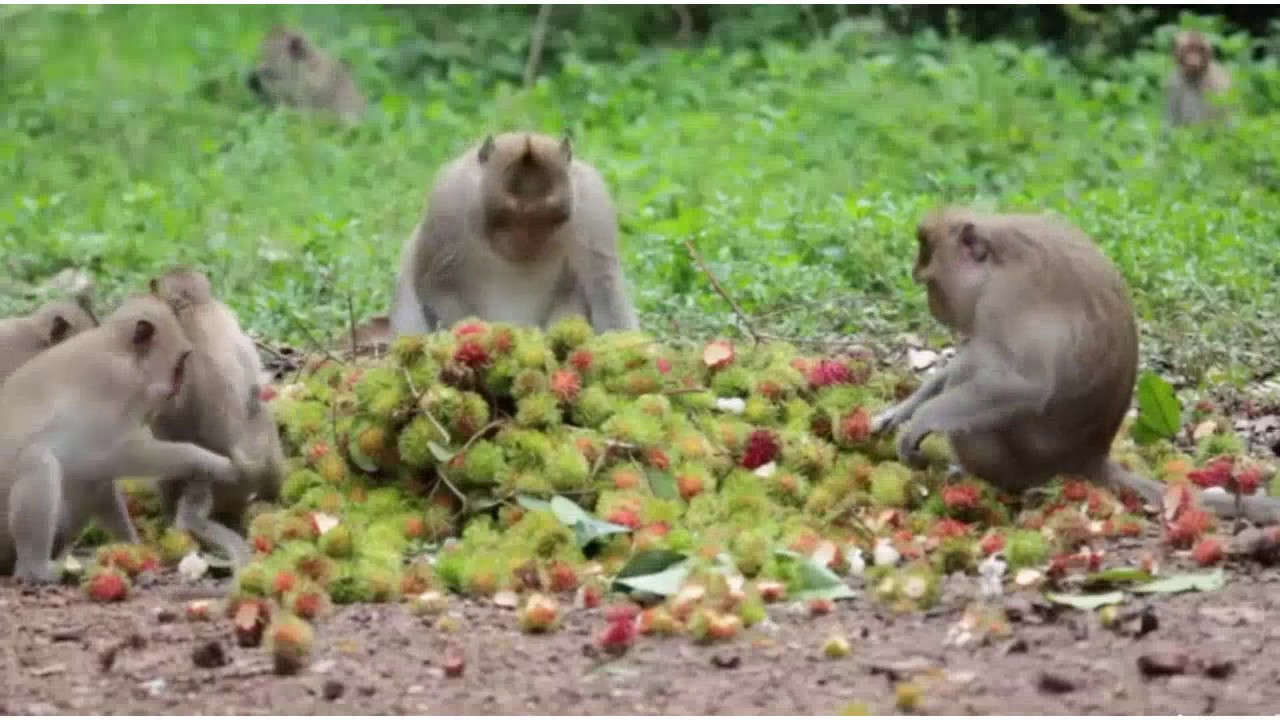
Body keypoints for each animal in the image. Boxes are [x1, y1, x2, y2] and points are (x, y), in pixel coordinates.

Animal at [0, 293, 242, 583]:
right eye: (181, 362)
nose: (182, 385)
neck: (120, 352)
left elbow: (96, 478)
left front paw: (132, 548)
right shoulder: (111, 385)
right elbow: (118, 455)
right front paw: (211, 463)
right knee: (38, 461)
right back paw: (35, 569)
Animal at [389, 131, 640, 338]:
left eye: (545, 217)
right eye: (507, 216)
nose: (524, 241)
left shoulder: (592, 203)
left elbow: (603, 287)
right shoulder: (449, 200)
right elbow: (436, 284)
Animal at [871, 206, 1280, 526]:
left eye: (931, 283)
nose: (933, 306)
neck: (998, 257)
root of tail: (1090, 457)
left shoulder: (1005, 300)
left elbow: (1025, 386)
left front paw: (919, 421)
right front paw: (902, 410)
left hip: (1019, 459)